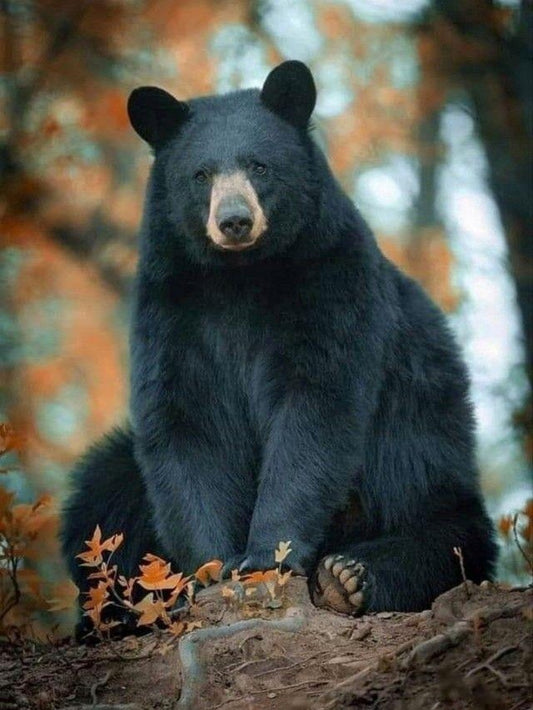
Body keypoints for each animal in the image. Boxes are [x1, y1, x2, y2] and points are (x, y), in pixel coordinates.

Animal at [61, 60, 497, 630]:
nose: (234, 221)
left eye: (259, 166)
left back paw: (348, 576)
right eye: (200, 174)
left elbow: (314, 410)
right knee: (101, 494)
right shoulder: (172, 309)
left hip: (422, 457)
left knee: (447, 535)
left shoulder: (332, 282)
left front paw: (265, 556)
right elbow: (186, 422)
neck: (241, 275)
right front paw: (211, 569)